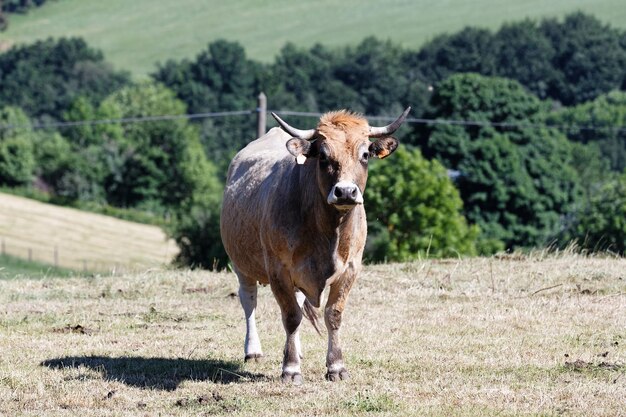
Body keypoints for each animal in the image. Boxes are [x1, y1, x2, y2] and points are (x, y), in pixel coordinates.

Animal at [219, 107, 410, 384]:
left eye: (365, 154)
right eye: (322, 155)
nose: (345, 192)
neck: (327, 232)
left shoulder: (351, 269)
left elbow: (332, 315)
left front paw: (336, 366)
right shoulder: (278, 269)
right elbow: (290, 316)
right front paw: (290, 369)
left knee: (298, 303)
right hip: (240, 263)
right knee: (249, 300)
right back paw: (253, 350)